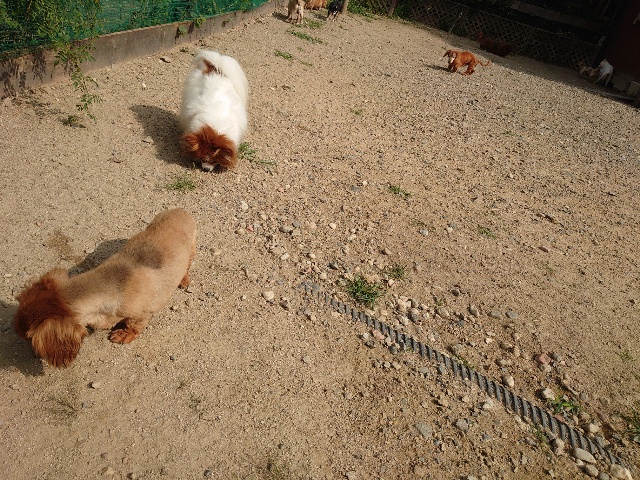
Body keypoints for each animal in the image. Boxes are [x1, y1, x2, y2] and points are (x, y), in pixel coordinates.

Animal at [14, 208, 197, 368]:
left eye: (29, 338)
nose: (16, 330)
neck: (112, 284)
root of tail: (181, 211)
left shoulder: (141, 314)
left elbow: (134, 326)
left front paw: (124, 334)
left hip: (191, 251)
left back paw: (183, 279)